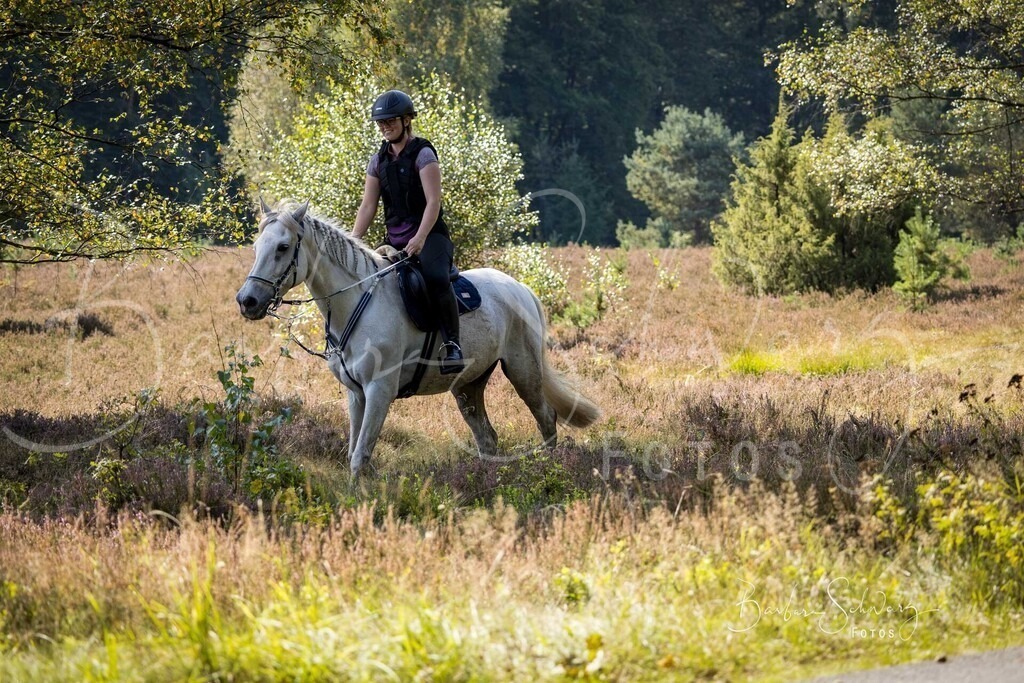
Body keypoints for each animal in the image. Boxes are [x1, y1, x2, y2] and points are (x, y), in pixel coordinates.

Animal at [234, 200, 601, 476]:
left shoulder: (379, 390)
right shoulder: (356, 394)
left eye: (283, 247)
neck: (356, 301)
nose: (247, 301)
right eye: (255, 247)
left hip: (523, 370)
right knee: (487, 438)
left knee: (546, 420)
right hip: (468, 385)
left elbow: (360, 457)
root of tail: (520, 288)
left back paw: (550, 473)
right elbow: (354, 453)